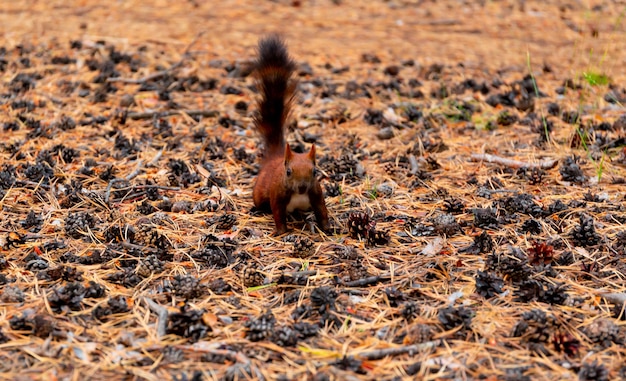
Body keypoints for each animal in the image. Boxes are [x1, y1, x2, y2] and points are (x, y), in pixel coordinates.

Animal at [250, 37, 330, 235]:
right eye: (288, 172)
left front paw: (327, 228)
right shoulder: (277, 195)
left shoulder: (316, 194)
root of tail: (275, 157)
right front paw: (281, 232)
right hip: (260, 190)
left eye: (315, 171)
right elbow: (278, 213)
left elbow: (322, 211)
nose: (302, 187)